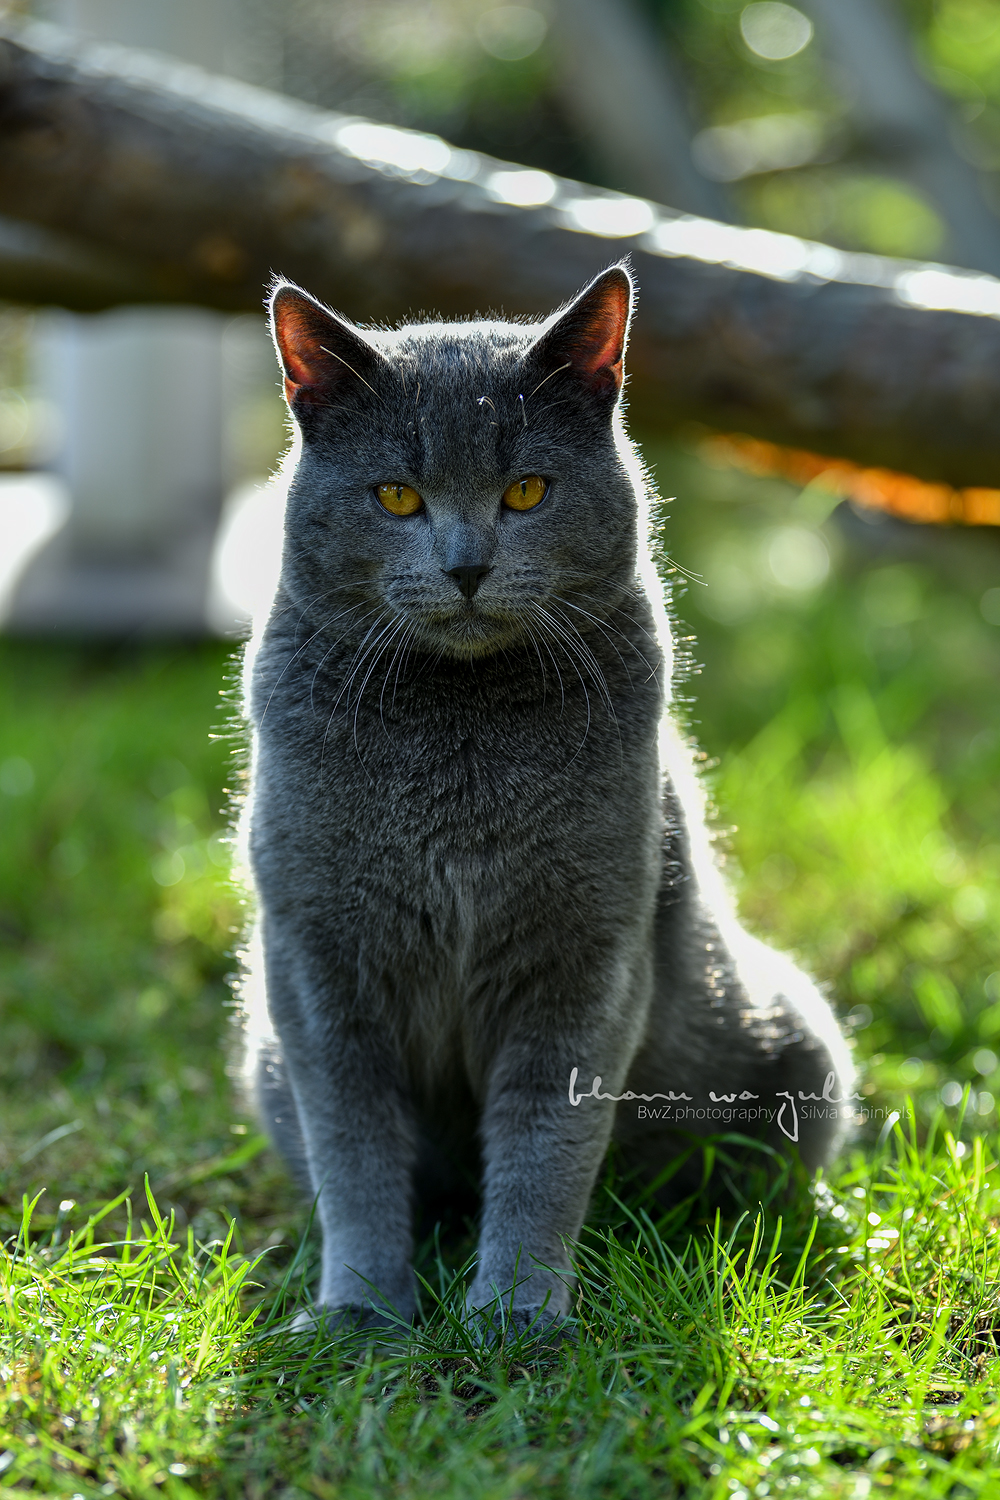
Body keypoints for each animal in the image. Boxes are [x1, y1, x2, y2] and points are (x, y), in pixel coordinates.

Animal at [238, 267, 857, 1338]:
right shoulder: (318, 959)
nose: (466, 565)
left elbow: (545, 1139)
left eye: (526, 489)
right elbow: (354, 1149)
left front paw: (515, 1316)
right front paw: (362, 1311)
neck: (457, 734)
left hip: (797, 1048)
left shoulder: (583, 952)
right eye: (396, 495)